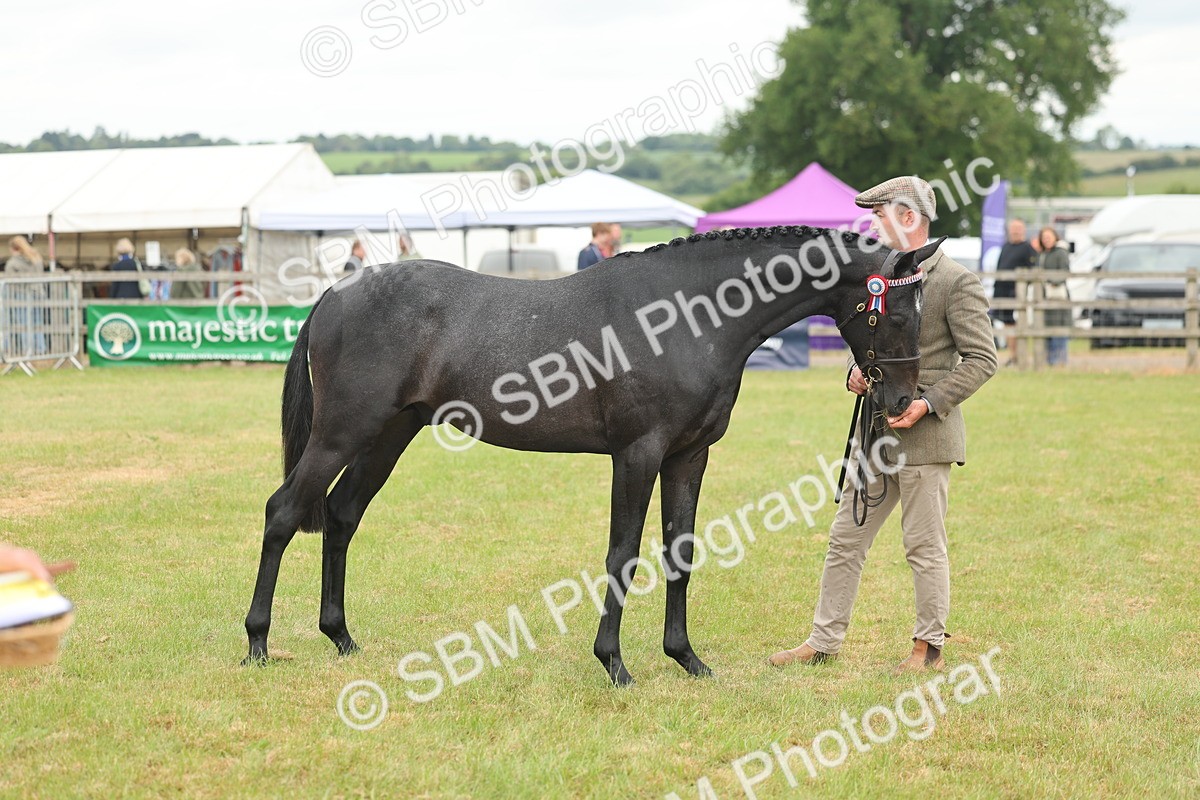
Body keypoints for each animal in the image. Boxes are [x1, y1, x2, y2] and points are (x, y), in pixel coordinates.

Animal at [244, 226, 936, 686]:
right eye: (897, 313)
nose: (904, 400)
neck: (686, 317)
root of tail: (335, 293)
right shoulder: (637, 454)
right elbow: (622, 552)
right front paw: (615, 664)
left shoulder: (689, 456)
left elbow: (680, 552)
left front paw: (687, 659)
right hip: (341, 432)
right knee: (283, 512)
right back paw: (257, 644)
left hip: (388, 435)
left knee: (340, 515)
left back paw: (341, 637)